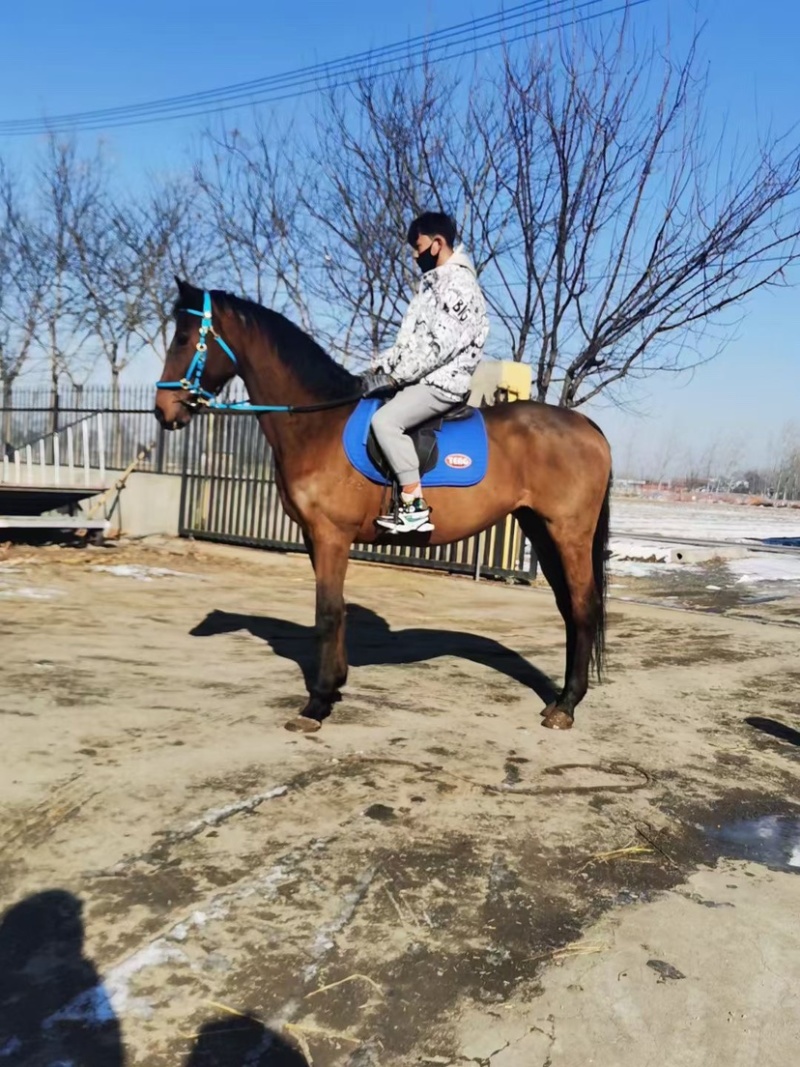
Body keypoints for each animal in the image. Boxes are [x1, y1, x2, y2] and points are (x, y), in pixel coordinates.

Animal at [154, 279, 613, 733]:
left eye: (183, 338)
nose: (163, 412)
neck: (318, 424)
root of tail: (587, 425)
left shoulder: (331, 535)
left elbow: (327, 613)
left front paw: (317, 703)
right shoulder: (314, 537)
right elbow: (336, 611)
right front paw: (334, 686)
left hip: (569, 532)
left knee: (583, 606)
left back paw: (567, 705)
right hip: (541, 529)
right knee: (568, 607)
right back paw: (559, 700)